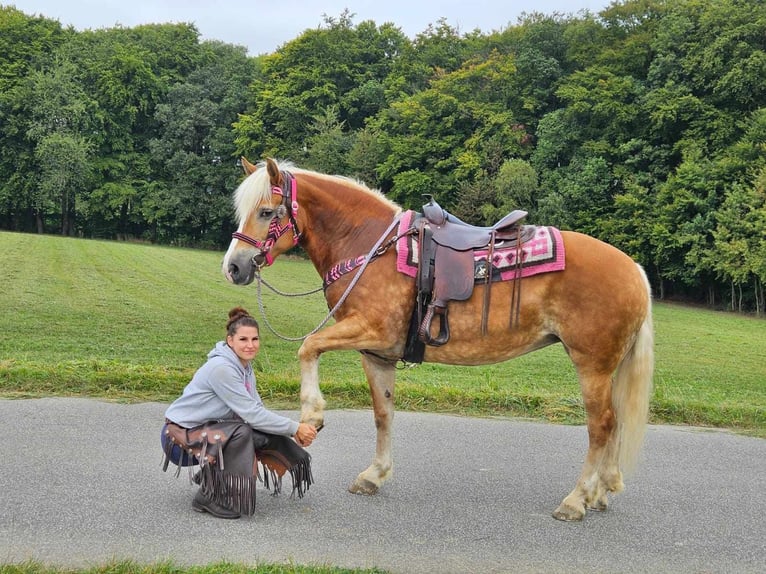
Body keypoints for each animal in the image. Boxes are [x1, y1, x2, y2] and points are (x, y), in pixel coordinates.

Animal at [220, 156, 656, 520]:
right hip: (608, 367)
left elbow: (308, 345)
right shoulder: (377, 352)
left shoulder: (370, 328)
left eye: (266, 211)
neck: (370, 246)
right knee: (615, 421)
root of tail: (634, 268)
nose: (234, 267)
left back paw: (577, 499)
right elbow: (383, 413)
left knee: (601, 425)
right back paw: (602, 491)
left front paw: (312, 414)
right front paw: (374, 474)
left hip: (592, 365)